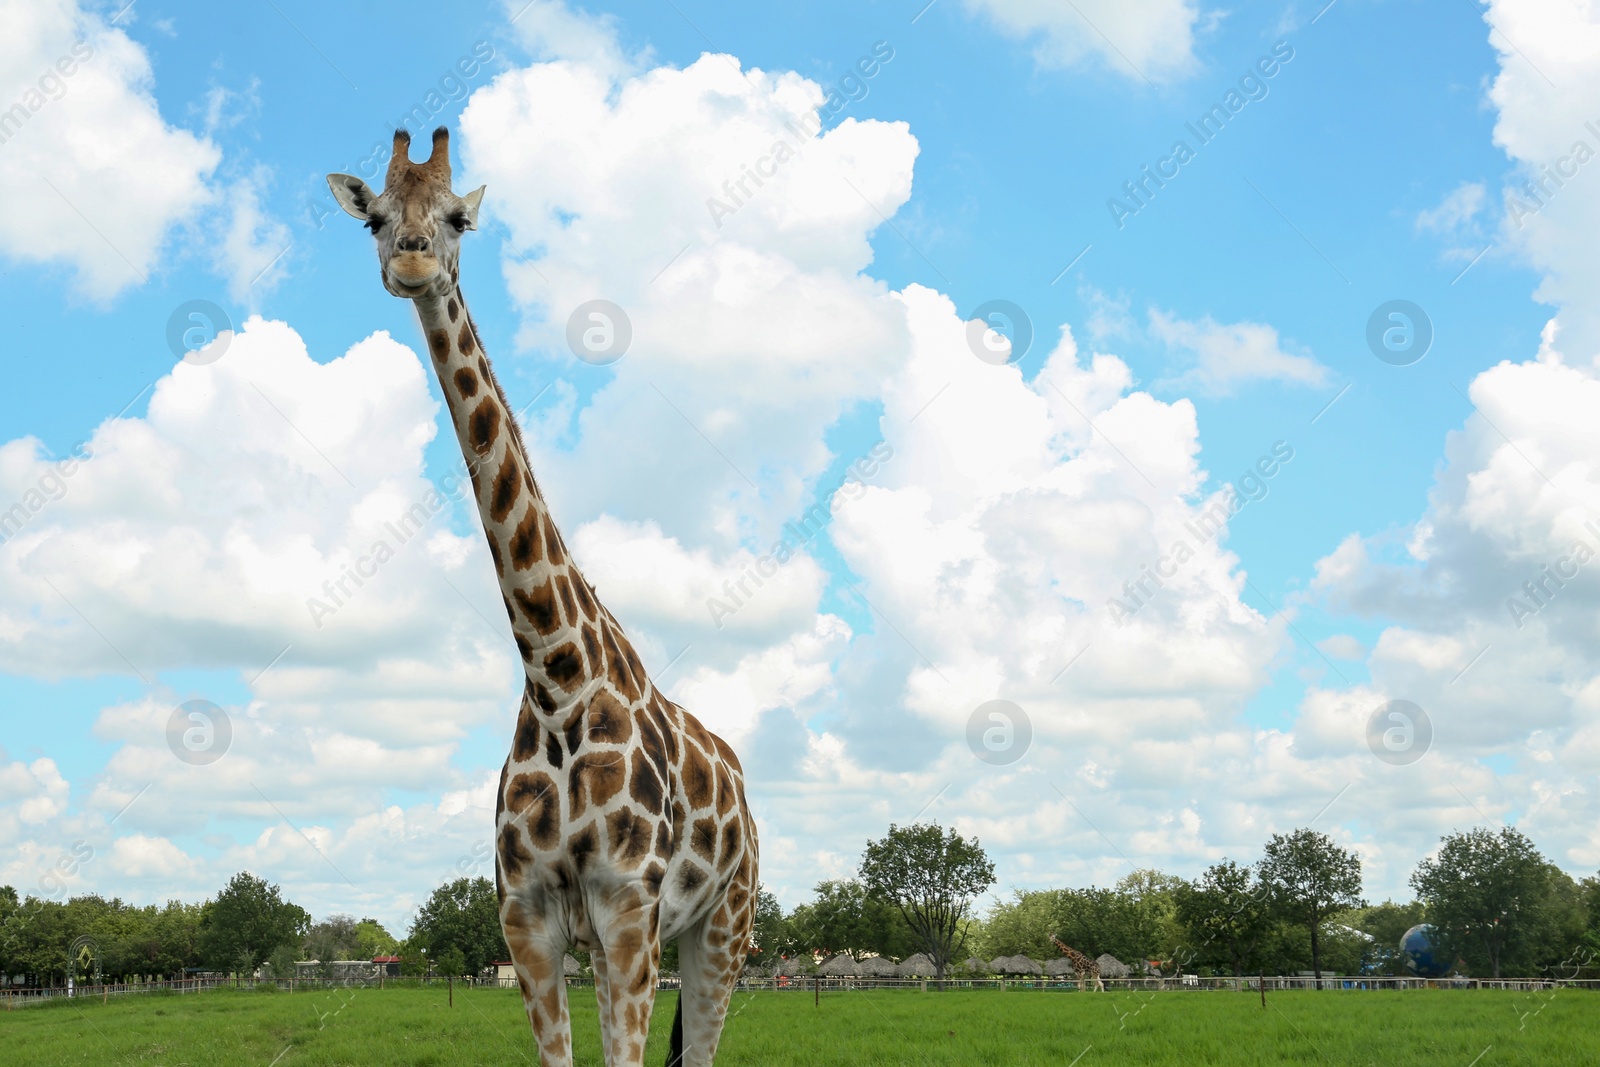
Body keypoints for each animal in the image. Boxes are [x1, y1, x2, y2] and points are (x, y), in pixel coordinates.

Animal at [328, 127, 758, 1067]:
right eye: (375, 215)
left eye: (458, 216)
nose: (413, 260)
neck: (556, 674)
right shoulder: (527, 921)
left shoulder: (629, 913)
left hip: (724, 924)